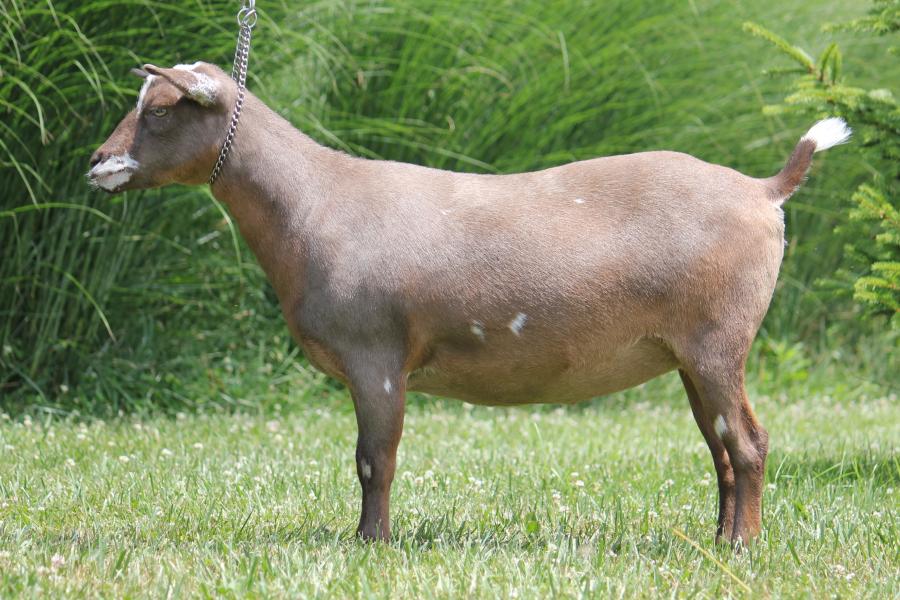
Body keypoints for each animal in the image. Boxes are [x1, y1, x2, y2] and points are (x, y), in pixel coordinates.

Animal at [88, 62, 851, 545]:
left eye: (161, 109)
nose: (97, 162)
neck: (316, 202)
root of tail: (763, 189)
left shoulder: (376, 356)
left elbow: (374, 457)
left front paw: (369, 543)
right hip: (691, 354)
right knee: (721, 449)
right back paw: (719, 539)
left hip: (720, 337)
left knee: (748, 444)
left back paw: (742, 548)